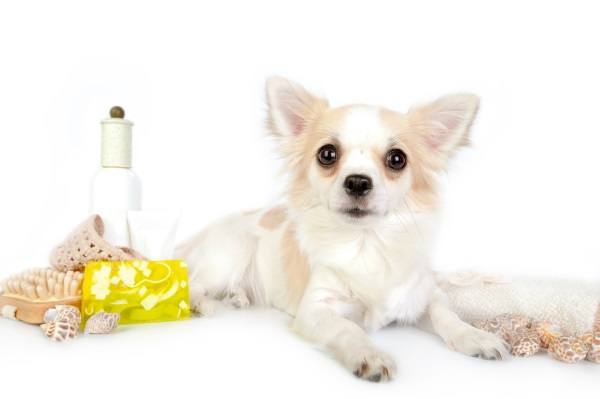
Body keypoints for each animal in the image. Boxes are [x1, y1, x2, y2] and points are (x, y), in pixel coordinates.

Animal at [176, 77, 508, 382]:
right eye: (327, 154)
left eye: (397, 159)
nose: (358, 181)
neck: (365, 242)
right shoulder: (316, 309)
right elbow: (346, 326)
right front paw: (369, 354)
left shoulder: (422, 295)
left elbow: (446, 314)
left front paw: (476, 337)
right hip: (228, 254)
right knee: (195, 285)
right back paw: (205, 305)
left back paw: (238, 297)